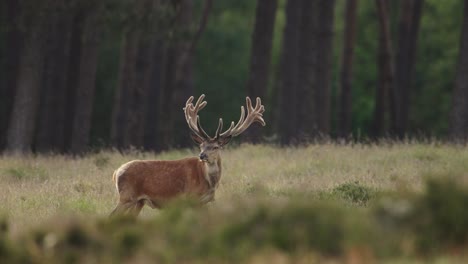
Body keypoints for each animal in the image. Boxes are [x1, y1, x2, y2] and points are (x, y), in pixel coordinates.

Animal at [107, 94, 266, 217]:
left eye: (215, 147)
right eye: (201, 146)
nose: (202, 155)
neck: (209, 182)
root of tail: (116, 172)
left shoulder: (205, 202)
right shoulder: (191, 198)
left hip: (138, 202)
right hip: (127, 196)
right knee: (112, 216)